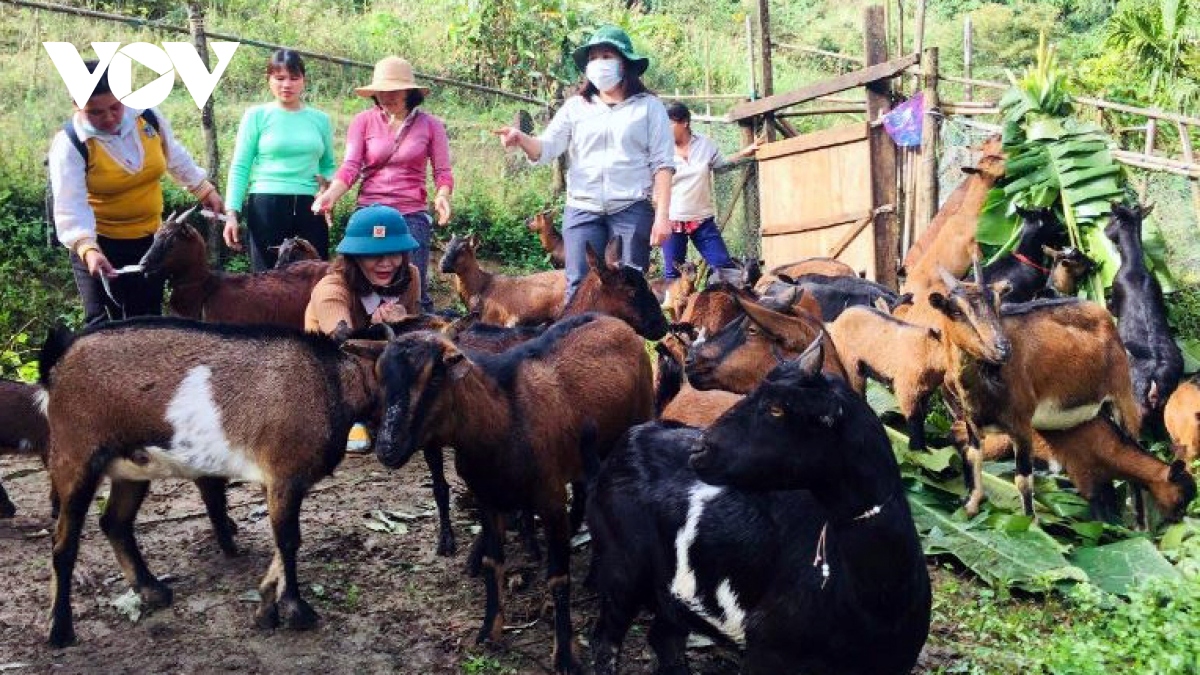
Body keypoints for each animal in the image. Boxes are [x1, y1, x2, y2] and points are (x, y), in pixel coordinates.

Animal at [41, 317, 379, 643]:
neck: (328, 379)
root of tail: (60, 358)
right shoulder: (285, 476)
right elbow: (288, 541)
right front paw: (295, 610)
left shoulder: (279, 484)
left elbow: (282, 541)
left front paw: (268, 608)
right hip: (75, 458)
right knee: (64, 544)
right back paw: (60, 630)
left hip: (133, 466)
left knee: (114, 522)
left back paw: (152, 590)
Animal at [374, 314, 657, 672]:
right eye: (381, 374)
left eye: (436, 375)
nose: (387, 449)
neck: (504, 418)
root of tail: (617, 323)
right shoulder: (487, 498)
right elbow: (493, 562)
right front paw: (489, 629)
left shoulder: (550, 500)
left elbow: (558, 578)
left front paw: (564, 655)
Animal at [825, 307, 945, 449]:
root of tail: (835, 322)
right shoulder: (906, 388)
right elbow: (914, 418)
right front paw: (917, 448)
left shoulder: (926, 392)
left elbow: (922, 416)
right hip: (851, 364)